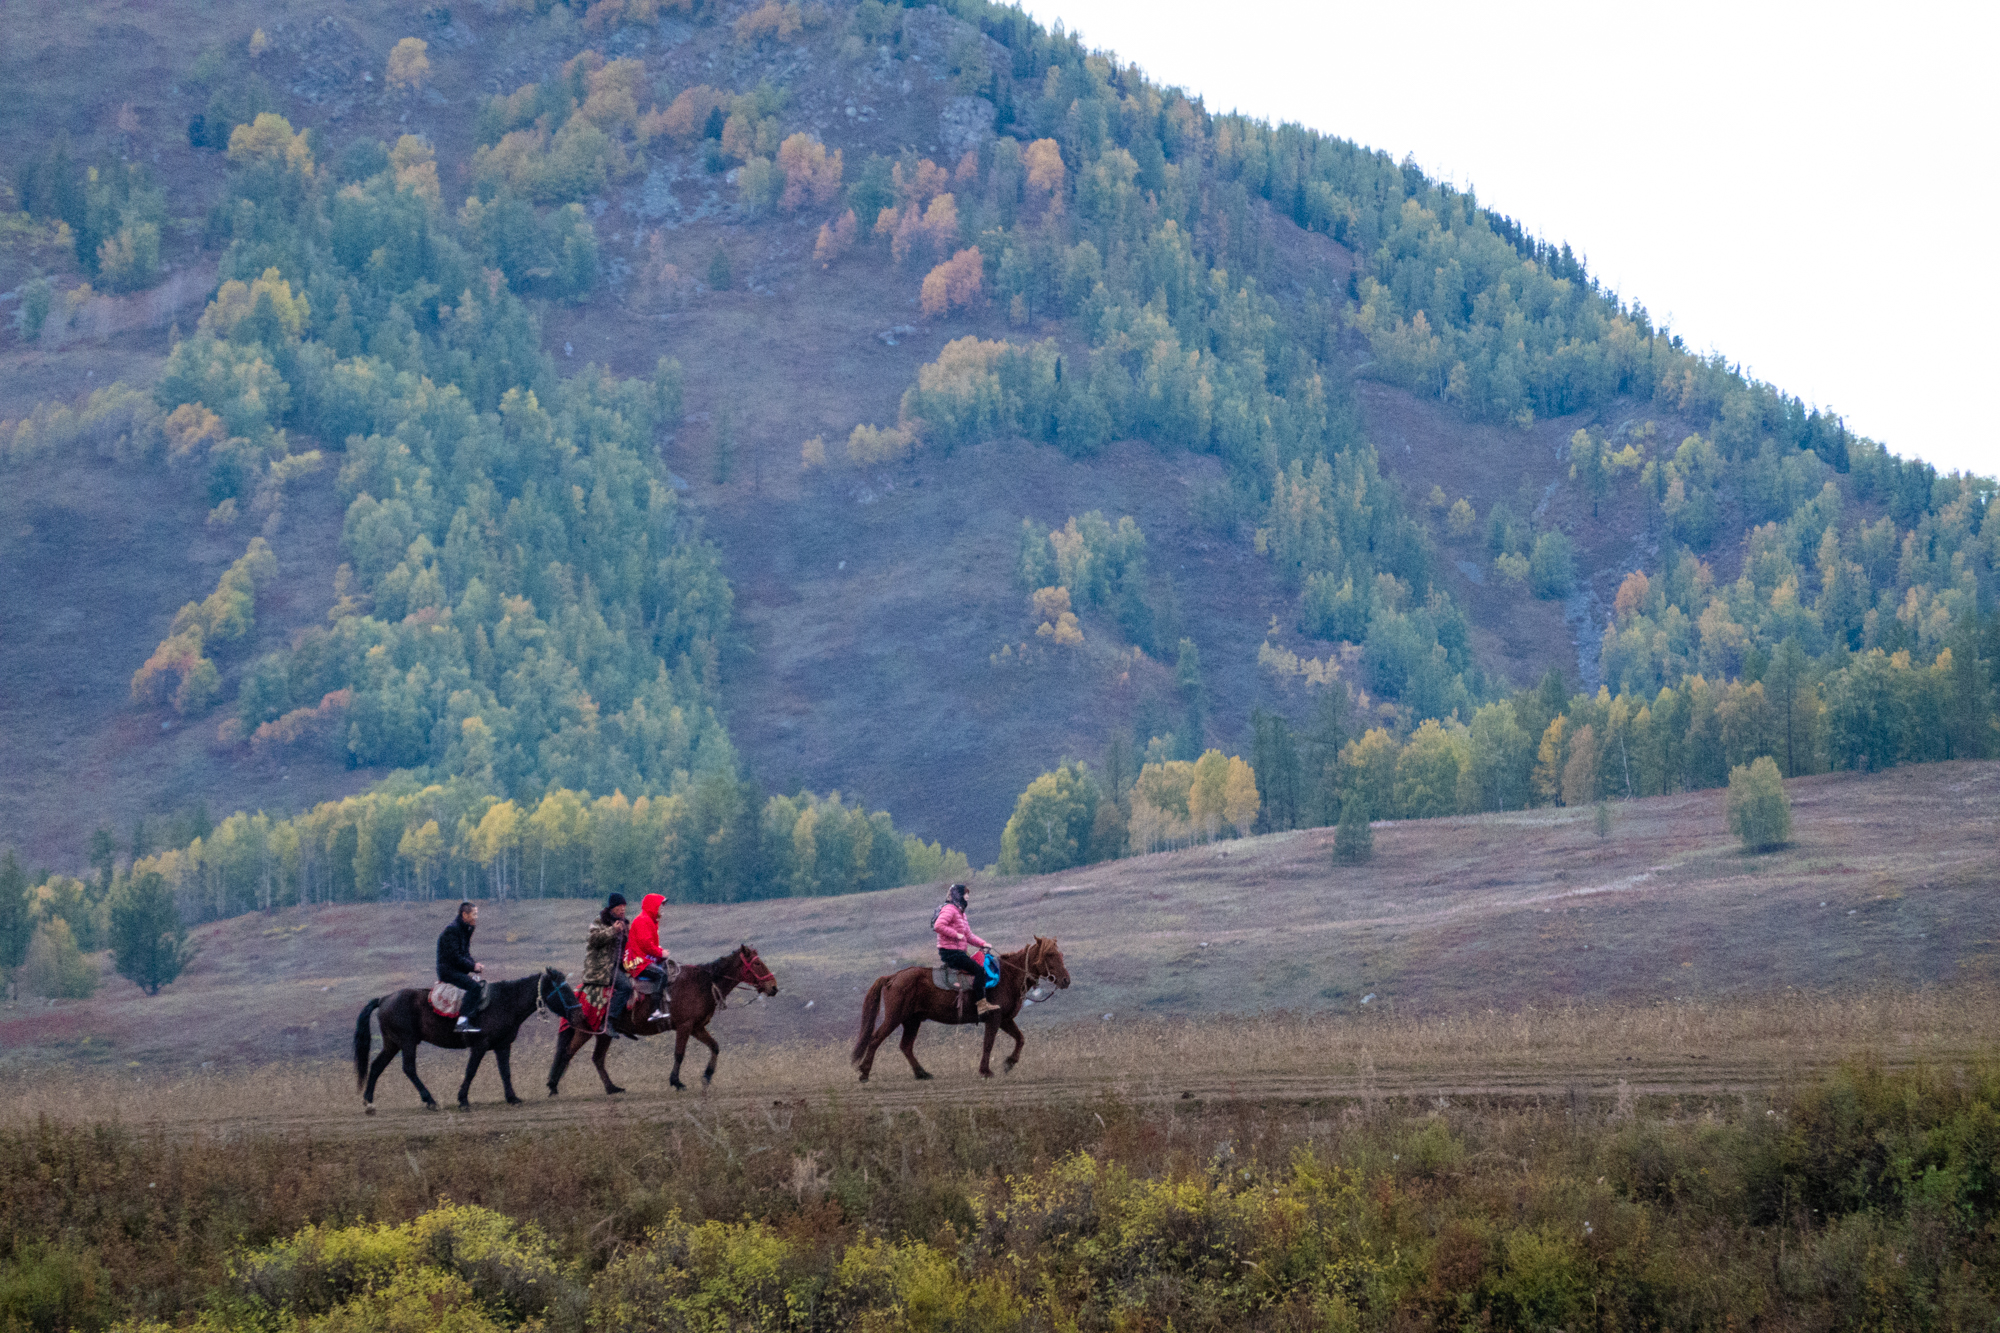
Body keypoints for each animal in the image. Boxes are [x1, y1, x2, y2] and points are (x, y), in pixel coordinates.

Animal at [548, 932, 780, 1088]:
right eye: (757, 964)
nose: (773, 987)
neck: (704, 983)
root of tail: (581, 990)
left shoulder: (697, 1027)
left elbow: (715, 1047)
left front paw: (707, 1075)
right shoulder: (684, 1026)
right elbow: (679, 1054)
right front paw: (676, 1081)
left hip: (603, 1034)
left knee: (596, 1059)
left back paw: (612, 1089)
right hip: (586, 1030)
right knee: (568, 1052)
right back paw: (554, 1088)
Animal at [852, 932, 1072, 1080]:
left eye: (1060, 953)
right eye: (1049, 954)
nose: (1066, 980)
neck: (1008, 976)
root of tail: (893, 977)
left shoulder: (1005, 1019)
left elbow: (1020, 1039)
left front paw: (1009, 1063)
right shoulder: (994, 1018)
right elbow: (988, 1043)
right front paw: (986, 1071)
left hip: (912, 1020)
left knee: (905, 1046)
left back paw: (922, 1073)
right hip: (895, 1017)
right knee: (876, 1039)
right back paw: (864, 1073)